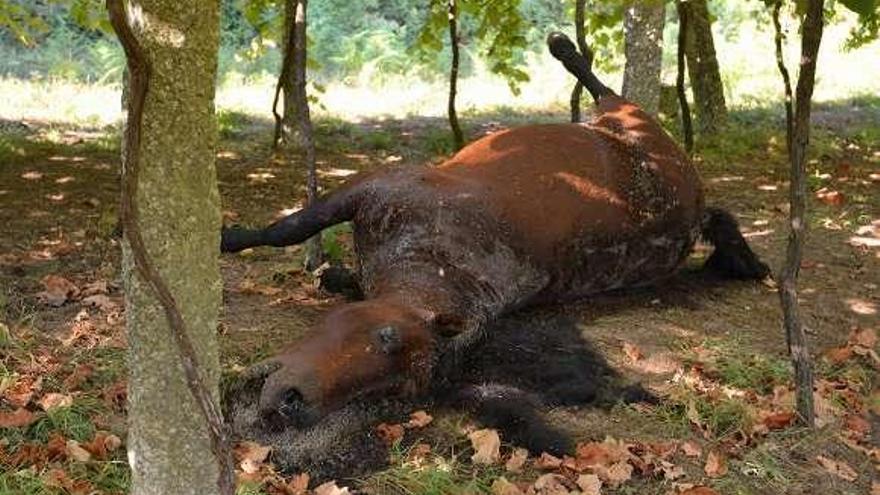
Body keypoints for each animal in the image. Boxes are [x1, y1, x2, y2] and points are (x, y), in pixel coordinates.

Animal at [223, 33, 768, 432]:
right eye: (383, 334)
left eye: (388, 388)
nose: (291, 403)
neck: (435, 253)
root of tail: (684, 180)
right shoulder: (368, 187)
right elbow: (286, 229)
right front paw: (232, 239)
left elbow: (297, 235)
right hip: (626, 119)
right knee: (603, 89)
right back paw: (562, 45)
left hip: (629, 118)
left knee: (605, 90)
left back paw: (563, 47)